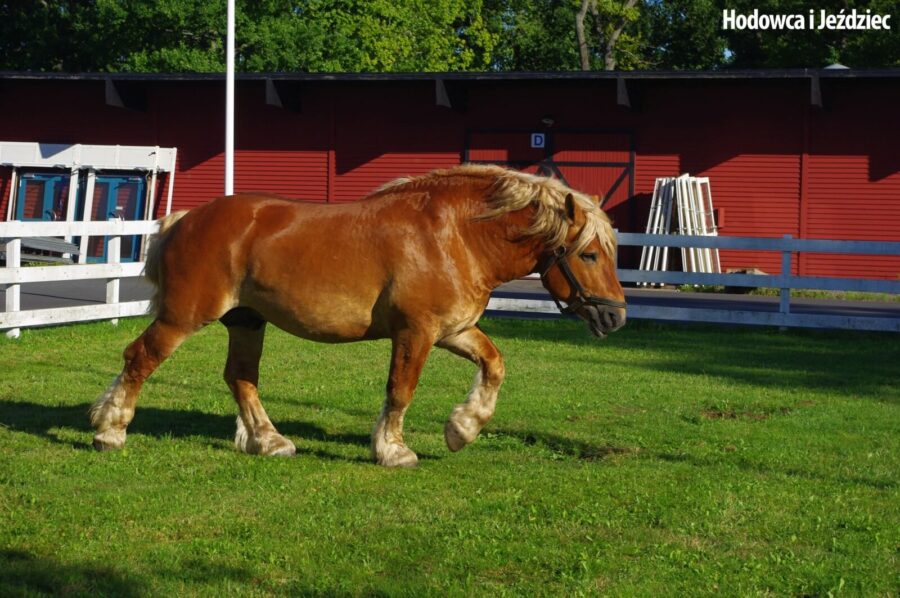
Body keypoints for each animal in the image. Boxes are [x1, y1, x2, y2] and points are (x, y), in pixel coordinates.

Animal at [91, 165, 624, 468]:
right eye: (590, 254)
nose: (615, 318)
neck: (455, 236)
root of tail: (188, 218)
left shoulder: (452, 330)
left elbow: (494, 364)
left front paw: (463, 428)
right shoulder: (415, 332)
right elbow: (400, 389)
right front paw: (393, 450)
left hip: (247, 322)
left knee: (240, 378)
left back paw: (269, 441)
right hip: (184, 317)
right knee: (139, 357)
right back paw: (109, 430)